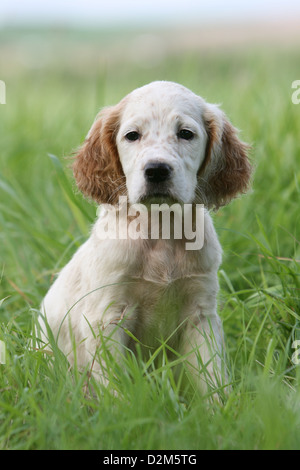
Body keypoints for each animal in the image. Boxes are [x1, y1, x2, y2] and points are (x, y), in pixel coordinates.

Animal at [39, 81, 251, 392]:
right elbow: (115, 386)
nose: (157, 170)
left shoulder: (200, 313)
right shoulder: (108, 317)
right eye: (132, 136)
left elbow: (211, 378)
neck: (160, 229)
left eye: (185, 133)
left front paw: (221, 405)